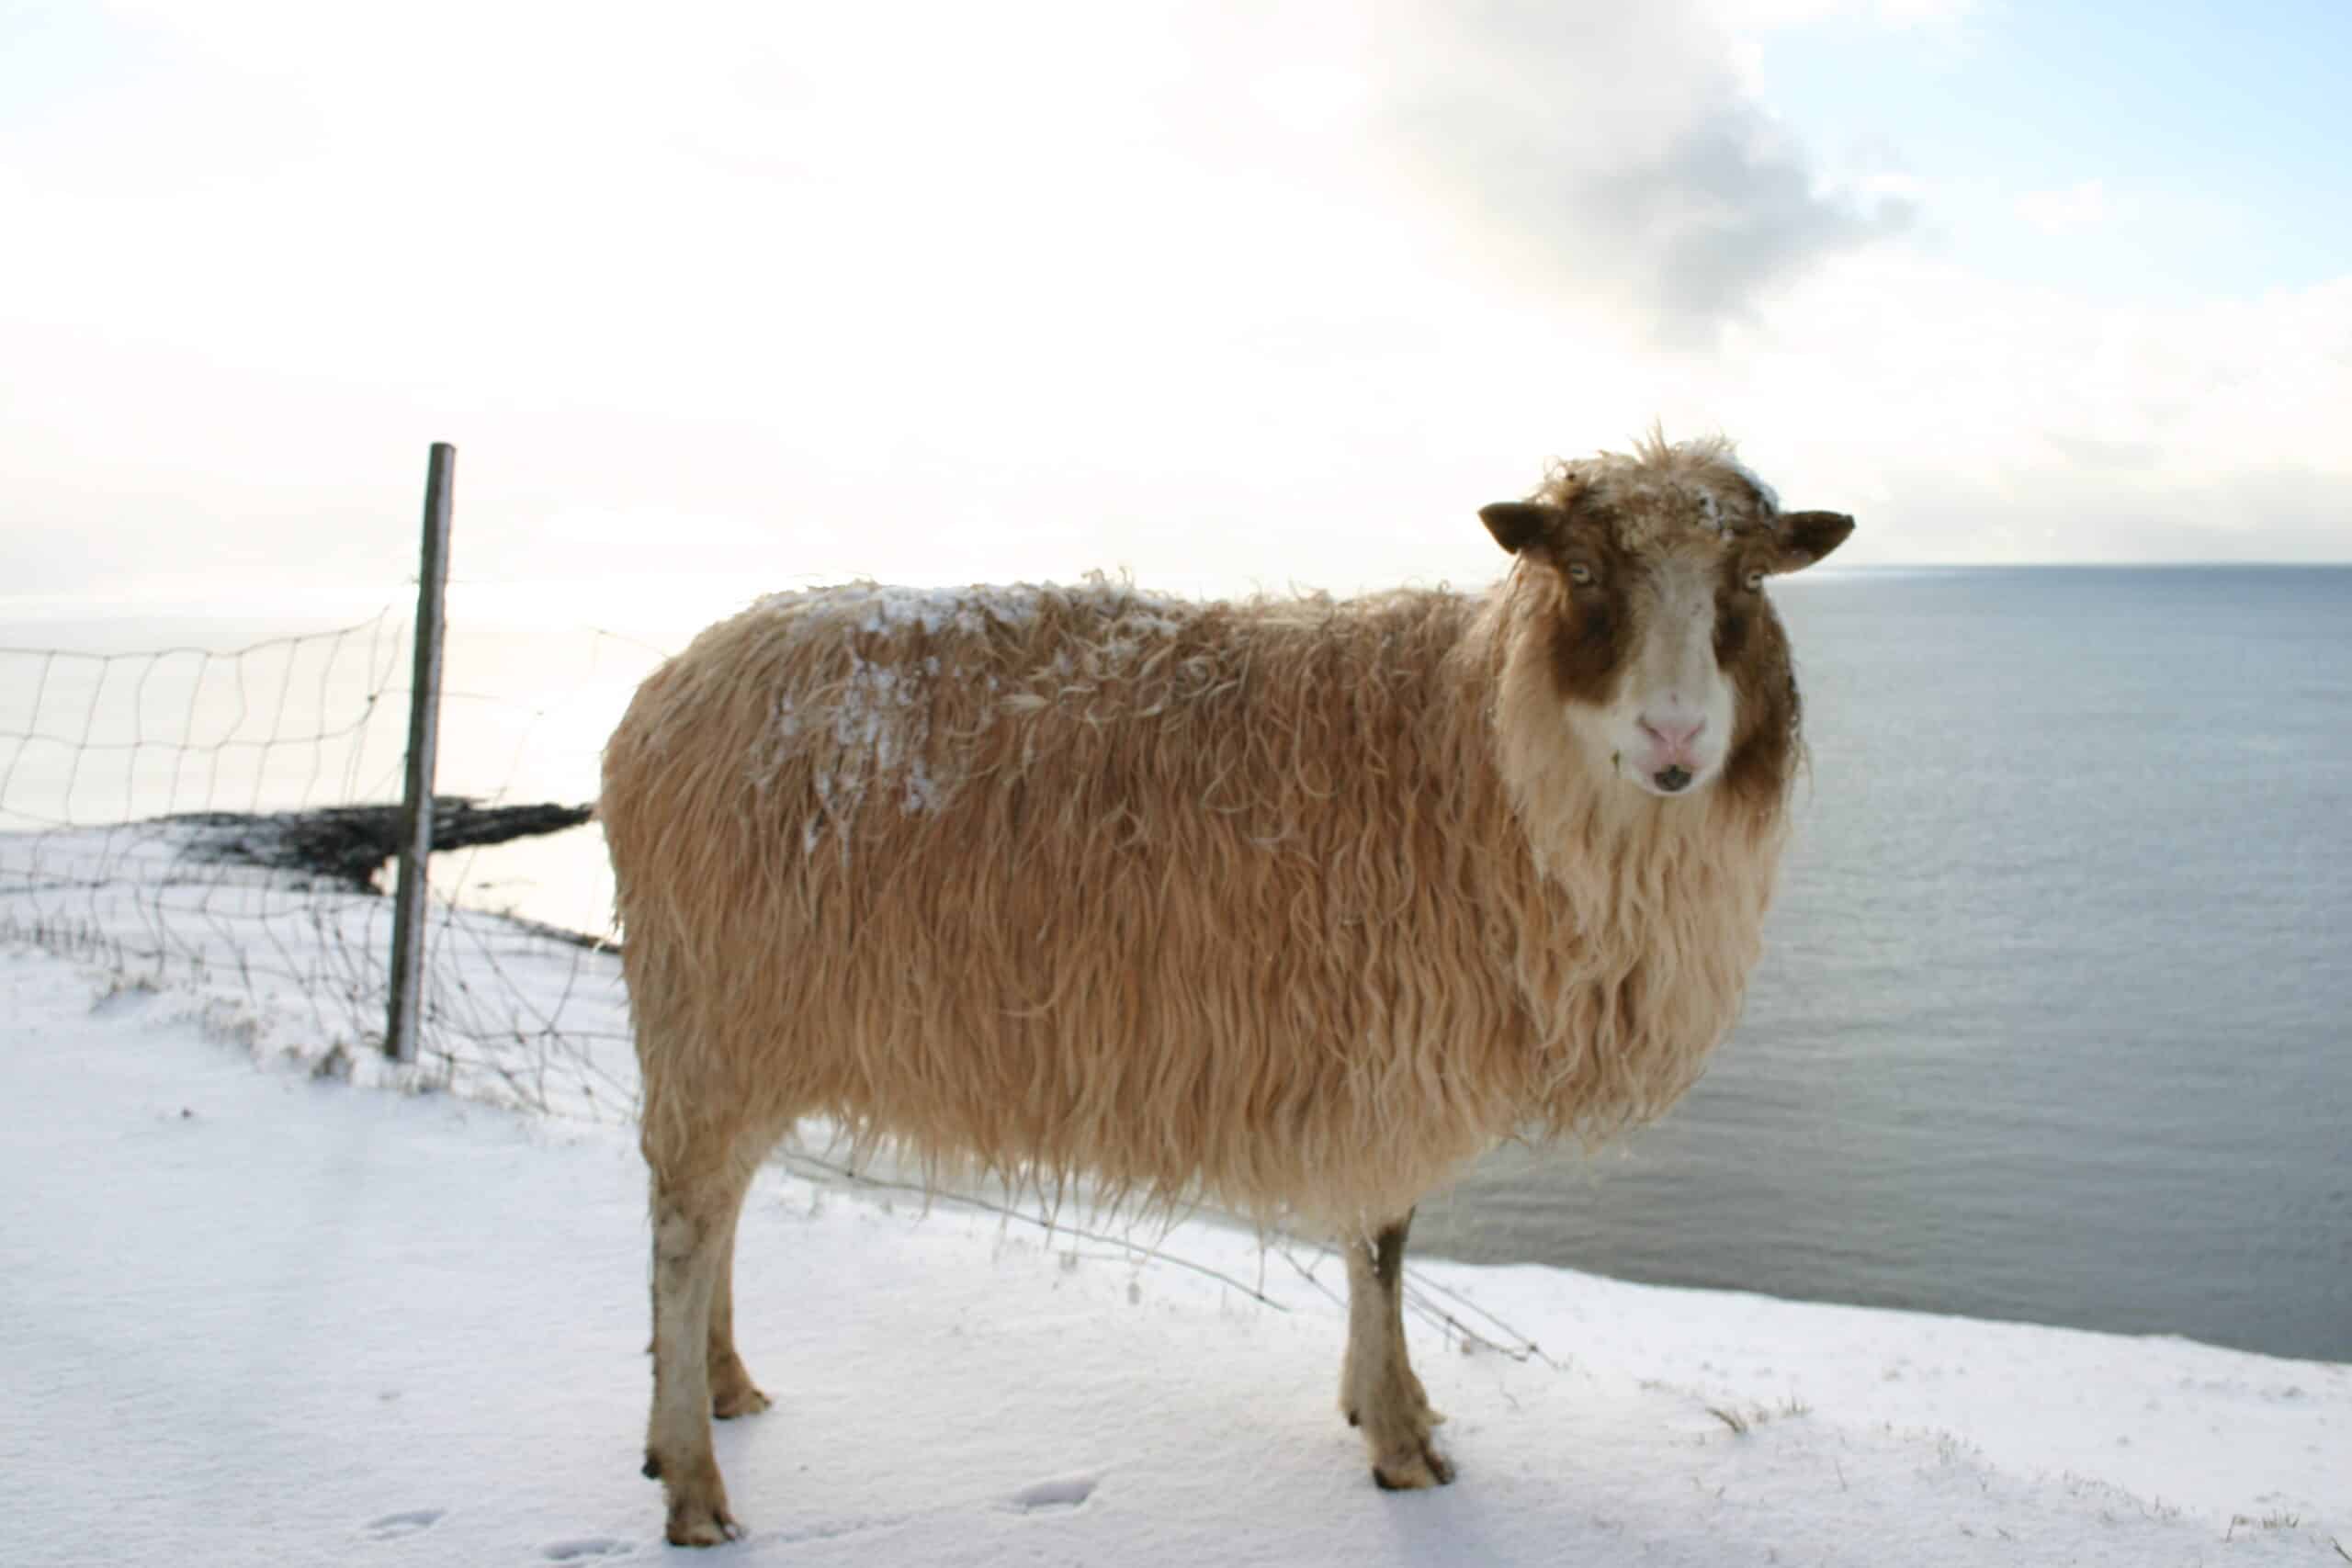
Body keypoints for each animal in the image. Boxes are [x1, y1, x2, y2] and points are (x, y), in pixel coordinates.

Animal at [599, 432, 1854, 1545]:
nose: (1674, 737)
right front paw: (1398, 1441)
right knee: (682, 1231)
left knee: (721, 1212)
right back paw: (691, 1484)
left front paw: (1388, 1403)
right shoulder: (1386, 1049)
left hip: (745, 1030)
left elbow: (1379, 1244)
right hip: (711, 1019)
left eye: (1747, 579)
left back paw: (723, 1389)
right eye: (1585, 573)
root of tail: (665, 695)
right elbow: (1382, 1243)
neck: (1480, 753)